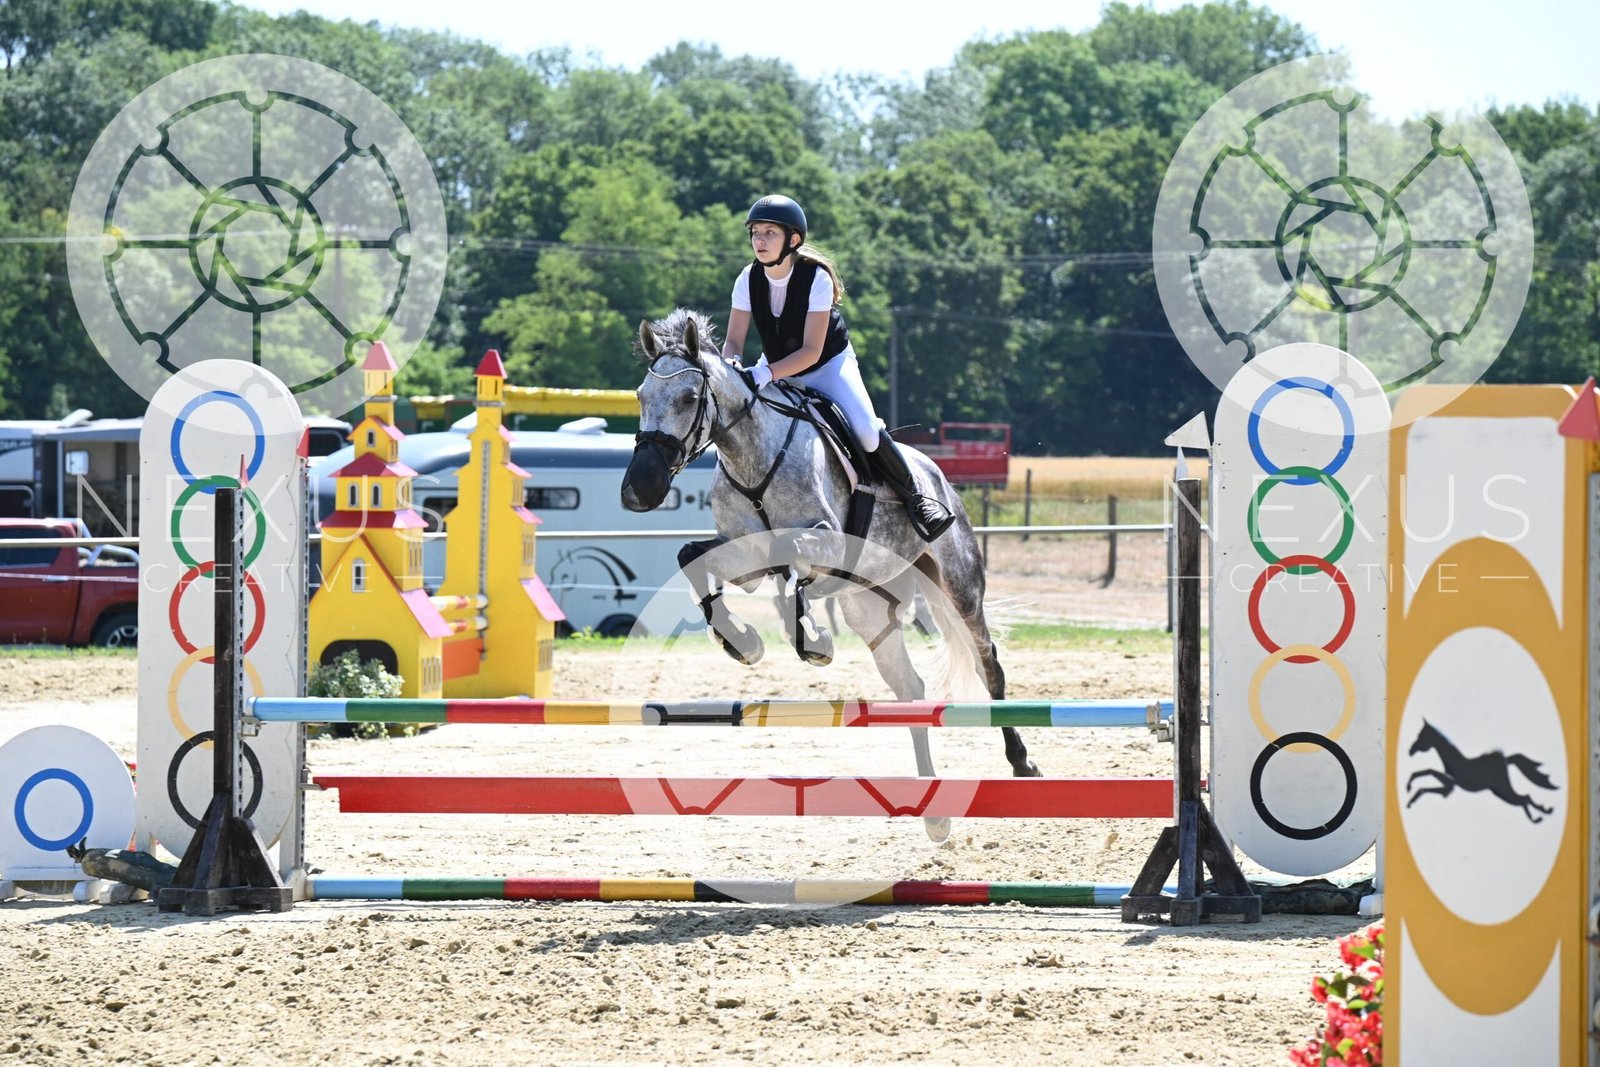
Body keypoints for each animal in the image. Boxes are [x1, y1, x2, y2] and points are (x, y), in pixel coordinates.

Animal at [620, 309, 1039, 835]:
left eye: (689, 398)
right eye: (640, 396)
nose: (639, 489)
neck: (751, 454)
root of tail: (941, 477)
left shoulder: (826, 541)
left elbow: (792, 557)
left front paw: (811, 639)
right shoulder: (745, 557)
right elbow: (693, 557)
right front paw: (744, 641)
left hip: (959, 587)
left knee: (990, 666)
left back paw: (1021, 761)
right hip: (870, 610)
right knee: (911, 689)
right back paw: (933, 811)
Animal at [1406, 720, 1558, 824]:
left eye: (1421, 736)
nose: (1410, 751)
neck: (1453, 761)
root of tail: (1506, 760)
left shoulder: (1449, 786)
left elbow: (1427, 778)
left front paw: (1409, 797)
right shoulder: (1448, 786)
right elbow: (1427, 772)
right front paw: (1409, 792)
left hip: (1503, 789)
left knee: (1524, 798)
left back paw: (1537, 818)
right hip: (1500, 791)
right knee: (1525, 798)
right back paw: (1545, 812)